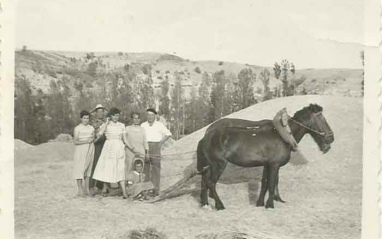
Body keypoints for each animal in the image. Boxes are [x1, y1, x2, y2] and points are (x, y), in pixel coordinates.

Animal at [197, 103, 334, 210]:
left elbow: (265, 183)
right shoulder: (274, 164)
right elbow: (272, 183)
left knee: (204, 182)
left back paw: (205, 204)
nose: (331, 138)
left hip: (209, 165)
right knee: (211, 183)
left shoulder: (267, 164)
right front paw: (270, 205)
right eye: (320, 118)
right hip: (218, 164)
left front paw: (260, 203)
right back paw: (220, 205)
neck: (283, 135)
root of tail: (206, 135)